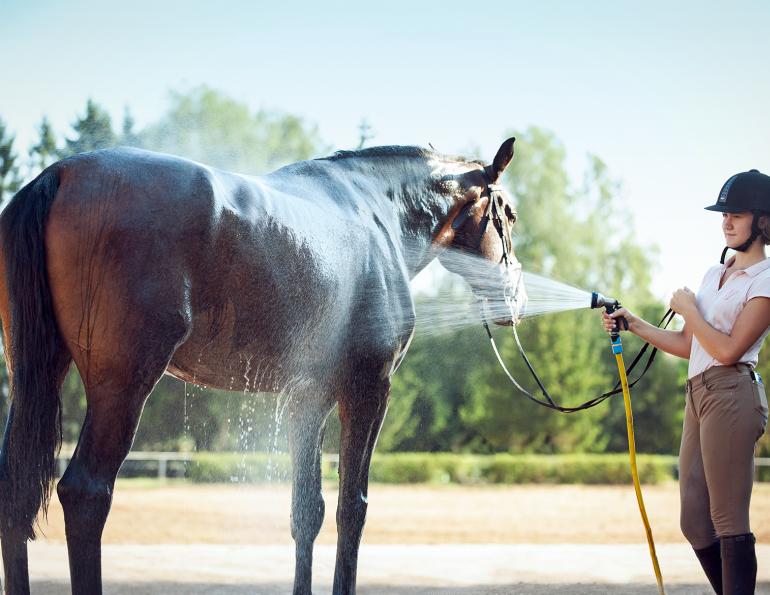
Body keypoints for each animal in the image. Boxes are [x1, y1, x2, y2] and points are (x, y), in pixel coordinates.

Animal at [0, 137, 521, 594]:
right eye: (509, 214)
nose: (516, 297)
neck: (380, 213)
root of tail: (59, 175)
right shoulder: (369, 390)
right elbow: (352, 508)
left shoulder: (308, 398)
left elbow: (306, 511)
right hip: (122, 387)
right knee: (86, 493)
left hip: (33, 376)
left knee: (15, 488)